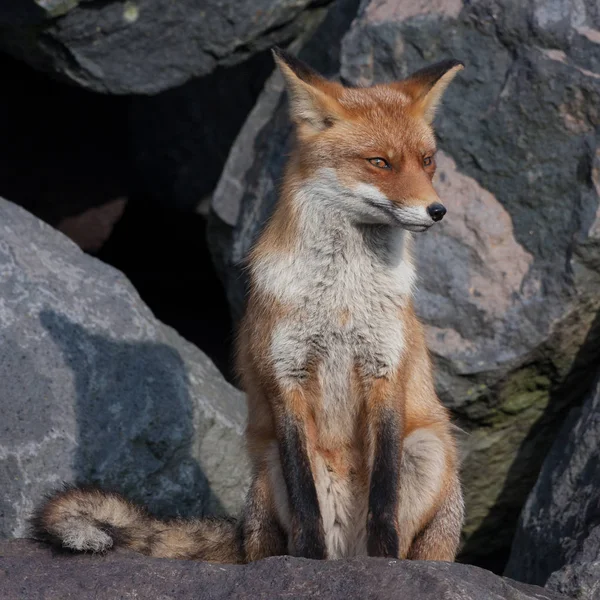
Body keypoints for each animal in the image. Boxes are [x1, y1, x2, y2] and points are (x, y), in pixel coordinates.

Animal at [31, 47, 464, 564]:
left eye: (427, 161)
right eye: (379, 161)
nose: (438, 211)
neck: (340, 300)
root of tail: (347, 548)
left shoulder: (385, 371)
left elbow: (384, 491)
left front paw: (383, 560)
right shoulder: (285, 378)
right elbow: (304, 495)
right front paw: (305, 560)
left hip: (429, 448)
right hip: (266, 468)